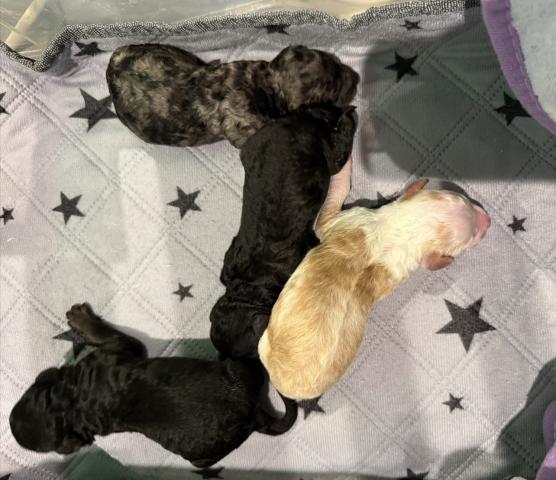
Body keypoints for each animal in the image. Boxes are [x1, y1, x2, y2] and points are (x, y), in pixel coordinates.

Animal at [10, 304, 297, 467]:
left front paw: (81, 318)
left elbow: (105, 333)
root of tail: (256, 416)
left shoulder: (117, 350)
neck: (73, 405)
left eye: (28, 394)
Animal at [258, 169, 491, 400]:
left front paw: (343, 173)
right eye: (464, 201)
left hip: (265, 345)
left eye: (470, 238)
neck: (404, 230)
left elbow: (326, 213)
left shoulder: (346, 219)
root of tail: (286, 388)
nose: (488, 220)